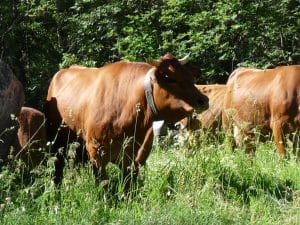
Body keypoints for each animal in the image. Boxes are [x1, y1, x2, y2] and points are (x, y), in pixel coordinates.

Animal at [44, 53, 209, 188]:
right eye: (171, 79)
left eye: (190, 77)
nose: (203, 100)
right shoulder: (95, 151)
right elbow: (103, 184)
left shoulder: (132, 155)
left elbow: (128, 183)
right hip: (58, 143)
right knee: (58, 169)